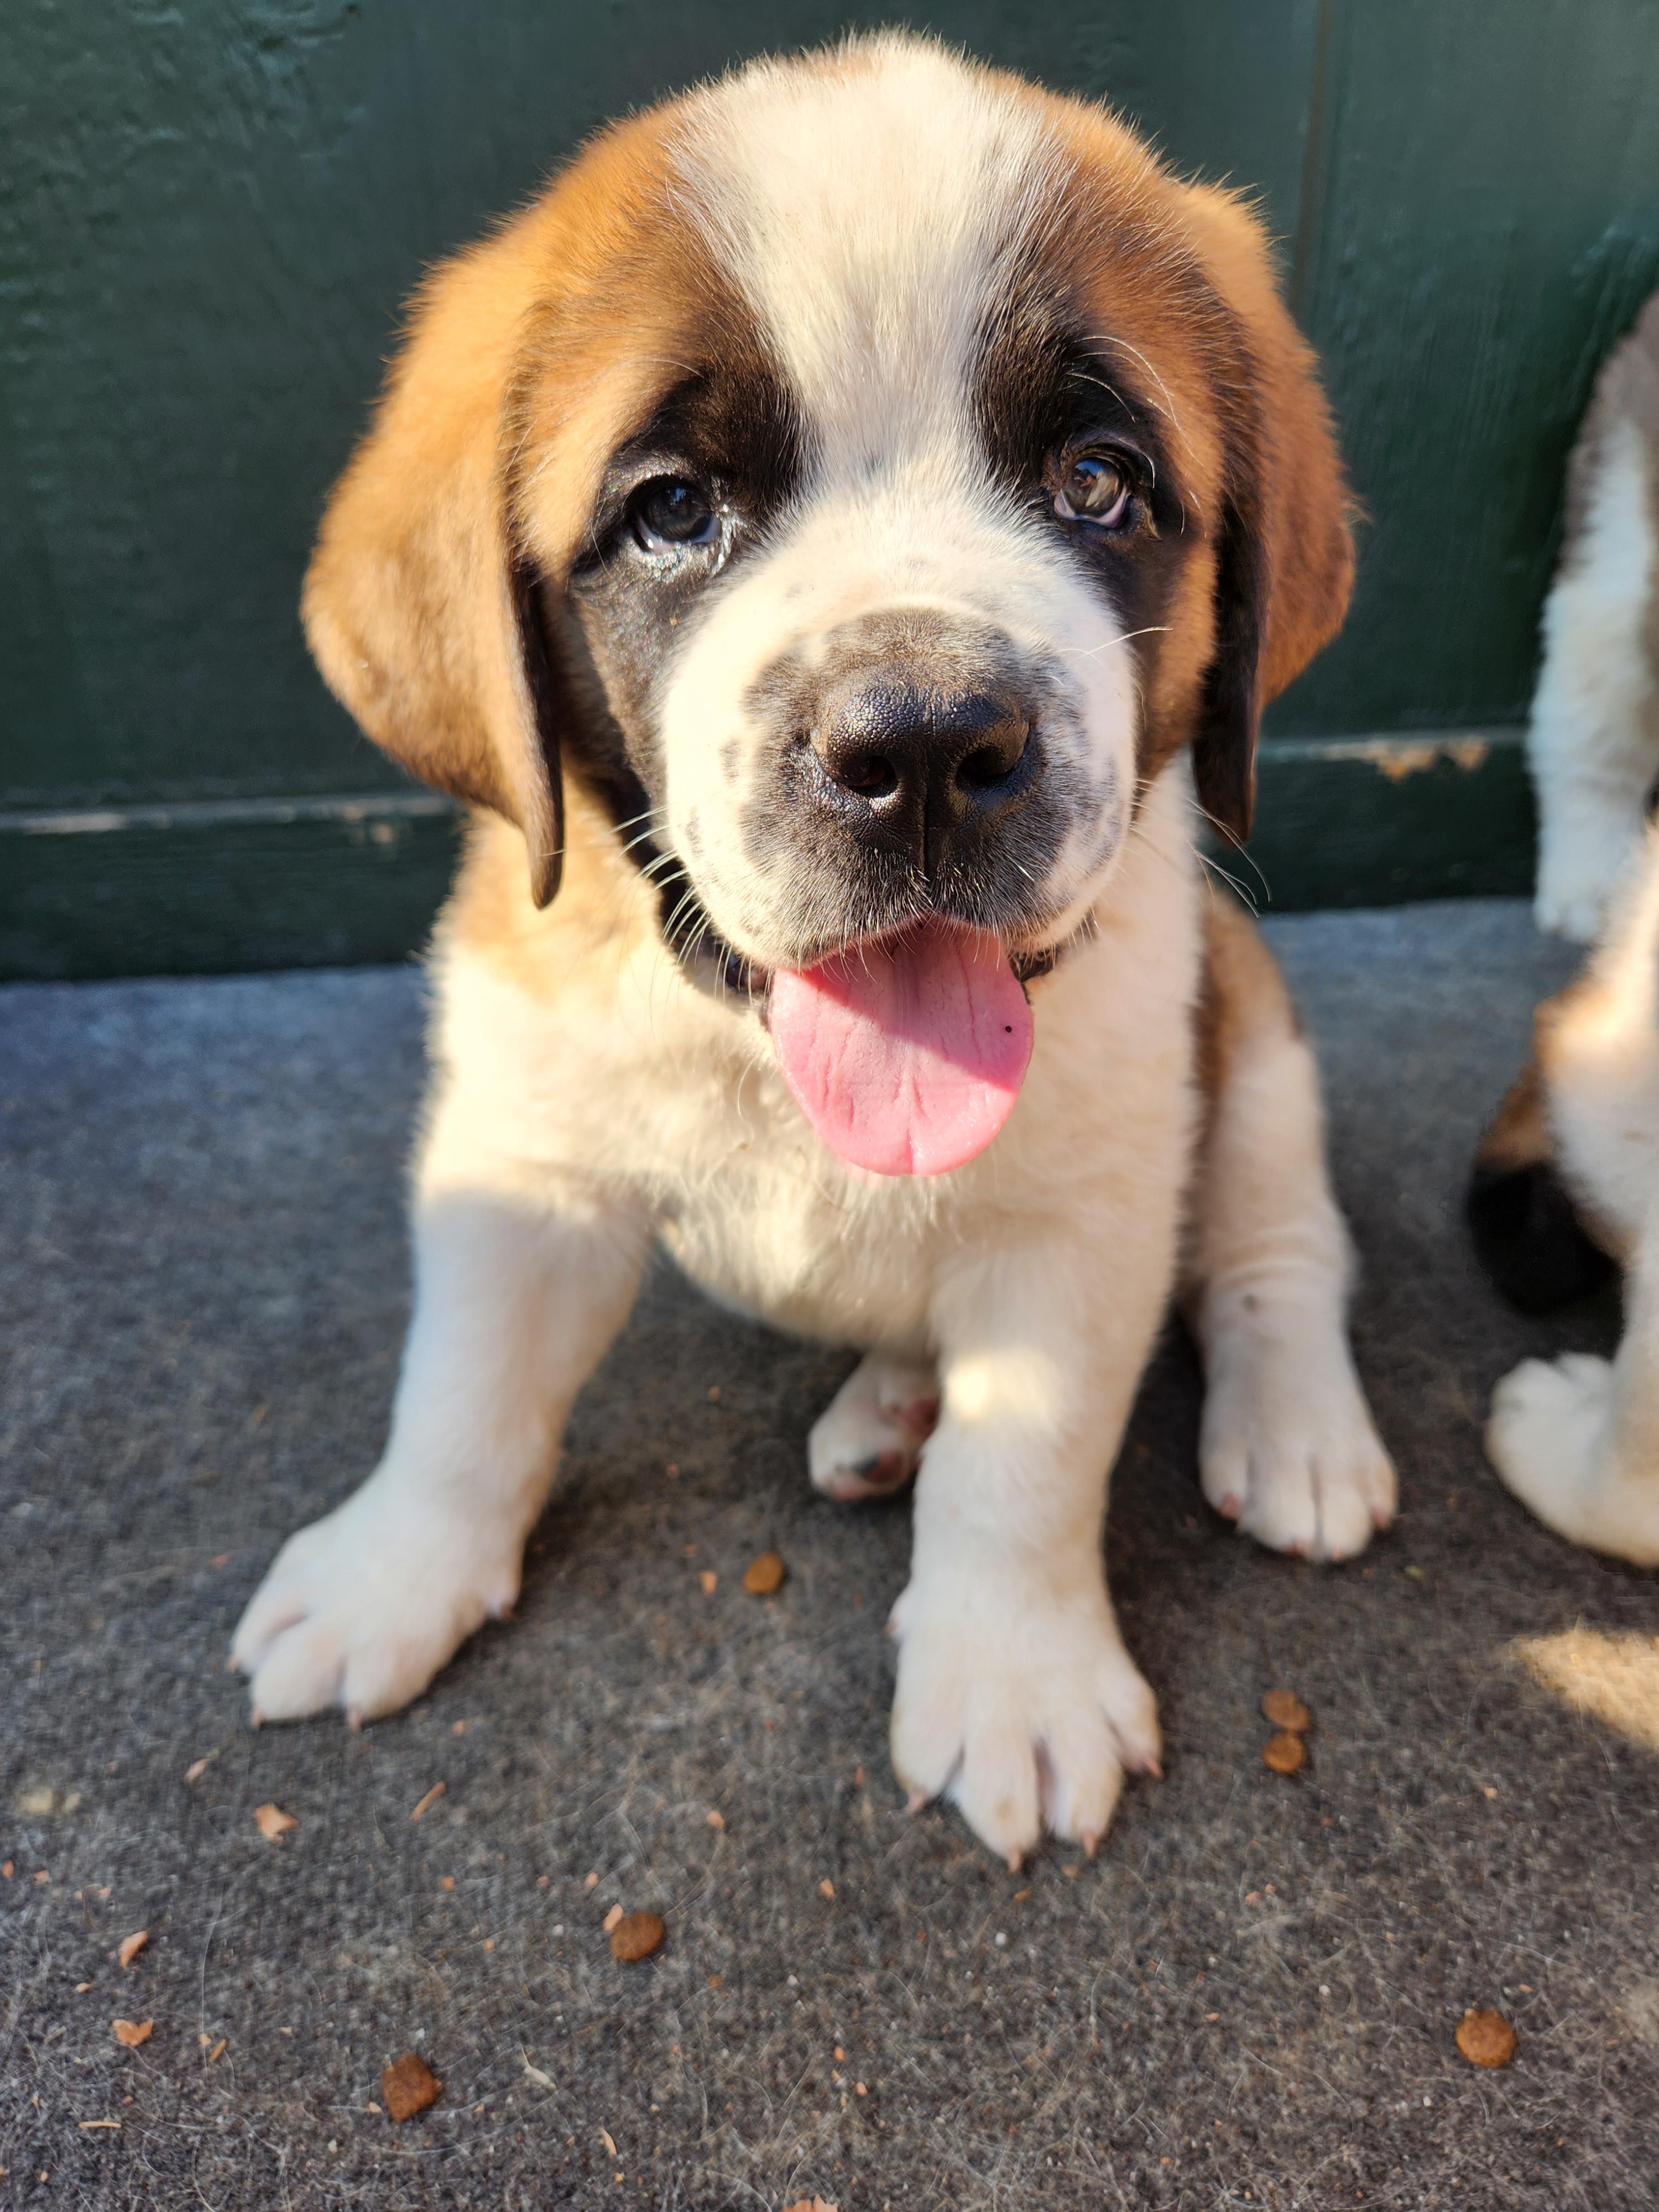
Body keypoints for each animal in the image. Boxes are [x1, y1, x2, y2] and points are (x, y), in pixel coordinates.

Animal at [231, 33, 1395, 1866]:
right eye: (671, 511)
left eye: (1098, 481)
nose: (921, 740)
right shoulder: (520, 1160)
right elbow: (465, 1385)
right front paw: (393, 1569)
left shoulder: (1084, 1213)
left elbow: (1027, 1455)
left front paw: (1014, 1675)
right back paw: (886, 1407)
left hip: (1253, 1040)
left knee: (1277, 1242)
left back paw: (1294, 1428)